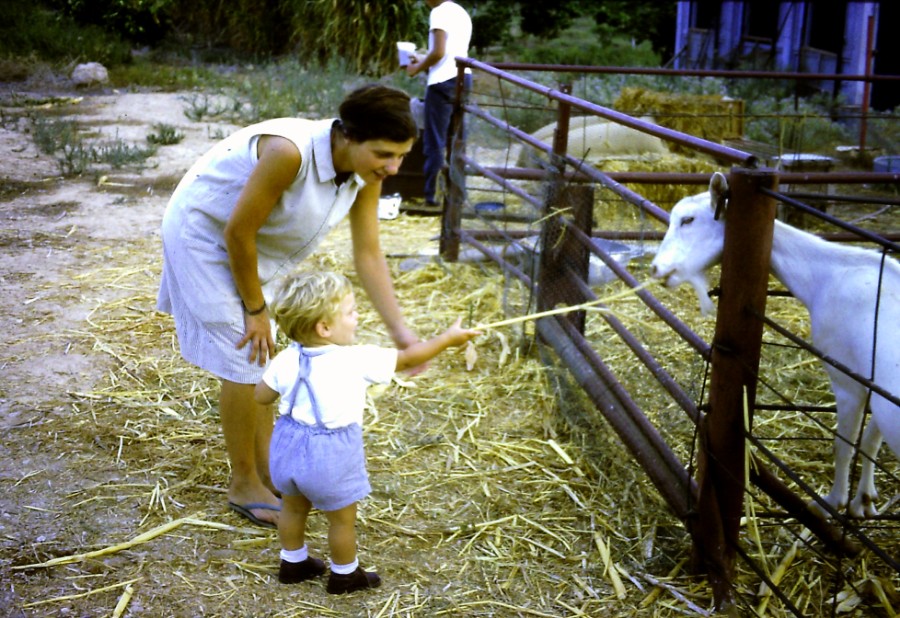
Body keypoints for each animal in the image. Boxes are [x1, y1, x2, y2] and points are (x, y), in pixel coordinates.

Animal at [652, 171, 896, 516]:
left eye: (688, 220)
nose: (655, 269)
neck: (831, 276)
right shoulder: (876, 391)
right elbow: (871, 441)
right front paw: (863, 501)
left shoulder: (848, 380)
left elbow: (844, 445)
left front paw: (831, 503)